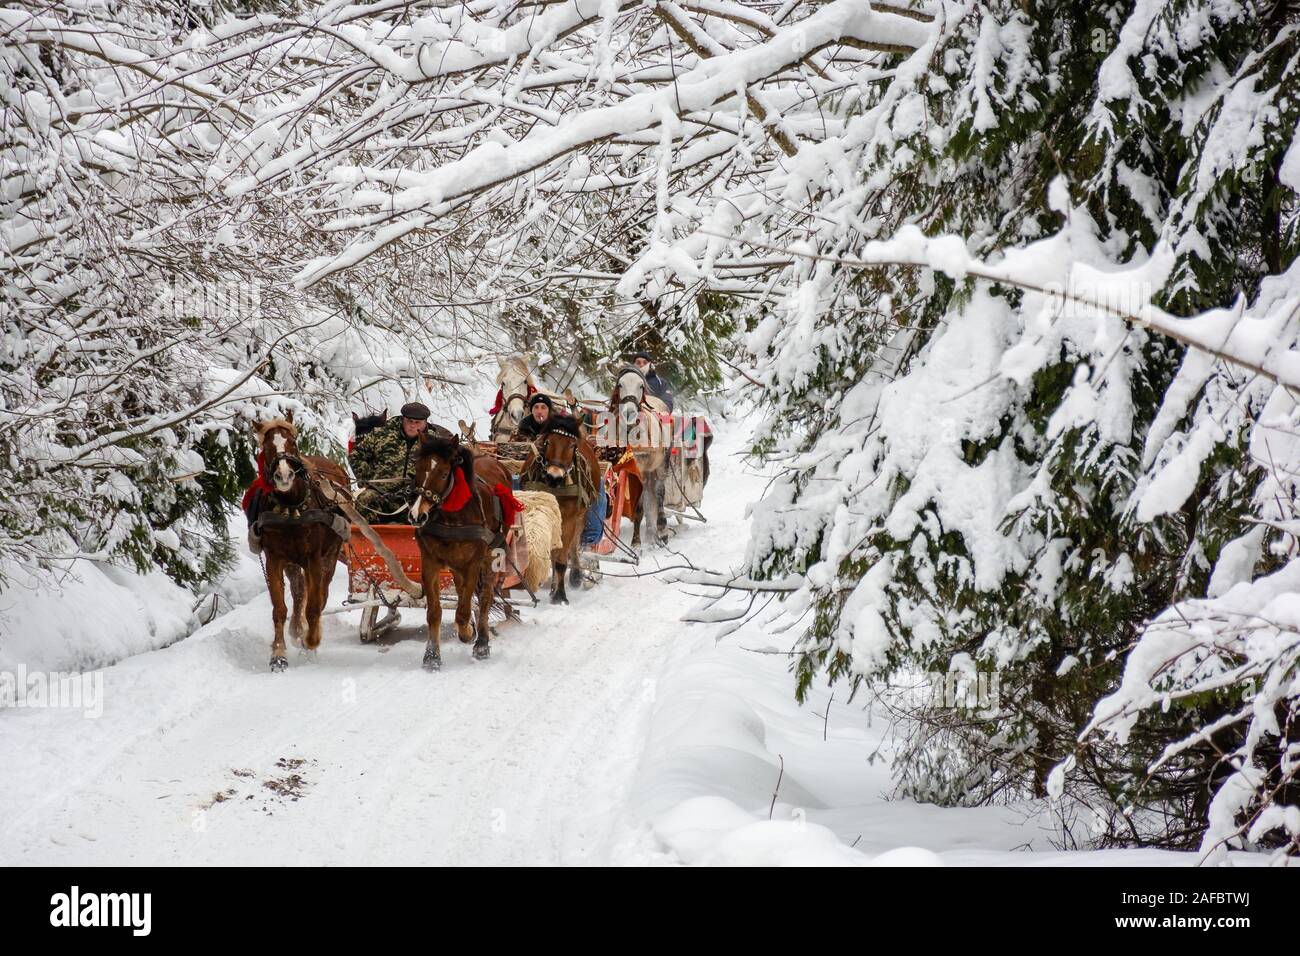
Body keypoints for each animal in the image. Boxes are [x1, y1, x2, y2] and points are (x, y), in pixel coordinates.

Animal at [252, 413, 351, 671]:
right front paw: (278, 653)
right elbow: (280, 609)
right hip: (293, 563)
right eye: (266, 448)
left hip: (330, 556)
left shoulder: (313, 559)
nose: (284, 475)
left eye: (293, 444)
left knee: (321, 596)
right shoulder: (275, 559)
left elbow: (314, 607)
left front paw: (311, 642)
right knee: (298, 593)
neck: (291, 508)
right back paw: (296, 630)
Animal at [408, 429, 509, 671]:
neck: (452, 515)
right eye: (417, 468)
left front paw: (467, 632)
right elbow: (434, 612)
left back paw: (481, 642)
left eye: (445, 473)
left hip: (489, 557)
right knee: (463, 590)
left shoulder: (473, 562)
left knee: (484, 597)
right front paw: (432, 656)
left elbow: (463, 611)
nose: (417, 515)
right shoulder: (430, 562)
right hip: (455, 564)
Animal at [517, 413, 598, 606]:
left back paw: (575, 576)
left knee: (573, 545)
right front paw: (555, 590)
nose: (554, 476)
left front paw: (560, 595)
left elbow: (561, 559)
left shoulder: (569, 518)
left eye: (572, 445)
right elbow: (553, 554)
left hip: (582, 516)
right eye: (547, 442)